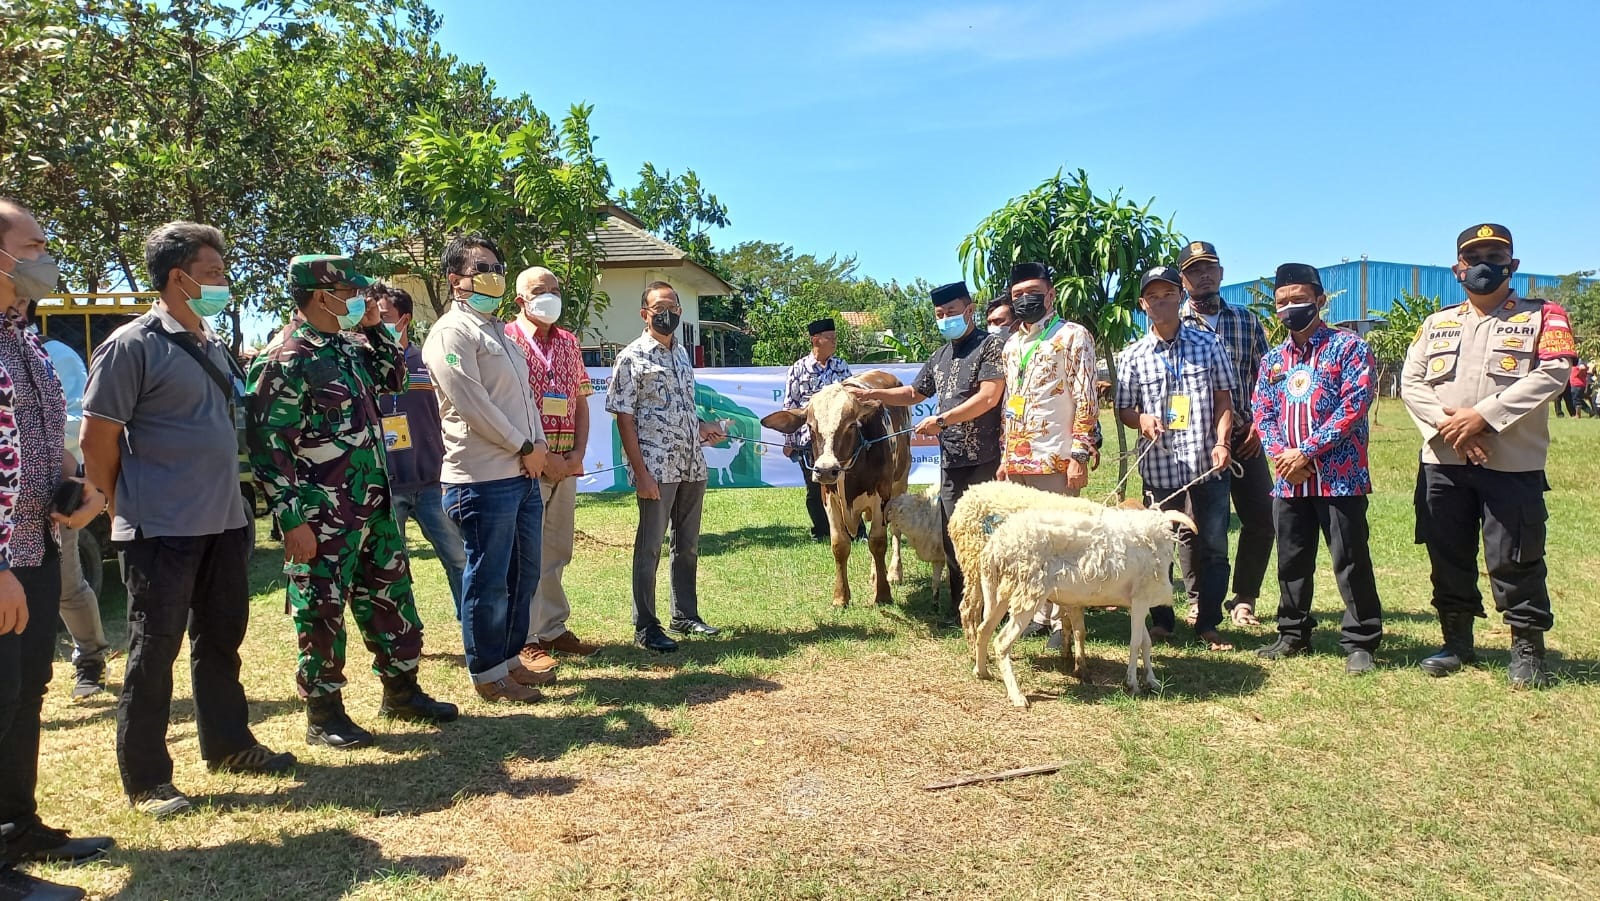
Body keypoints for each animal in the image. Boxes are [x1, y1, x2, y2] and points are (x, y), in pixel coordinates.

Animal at [761, 369, 915, 611]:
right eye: (811, 427)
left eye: (851, 424)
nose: (826, 469)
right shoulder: (829, 498)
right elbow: (840, 545)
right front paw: (841, 596)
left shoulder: (881, 496)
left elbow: (878, 542)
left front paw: (882, 594)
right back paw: (875, 573)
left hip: (900, 484)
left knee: (895, 531)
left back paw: (893, 572)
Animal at [966, 508, 1196, 704]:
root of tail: (996, 545)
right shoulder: (1140, 599)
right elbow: (1135, 643)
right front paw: (1132, 683)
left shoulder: (1136, 602)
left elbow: (1145, 643)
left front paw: (1152, 680)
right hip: (1028, 592)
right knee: (1001, 642)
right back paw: (1017, 696)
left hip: (1002, 593)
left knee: (983, 630)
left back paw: (982, 672)